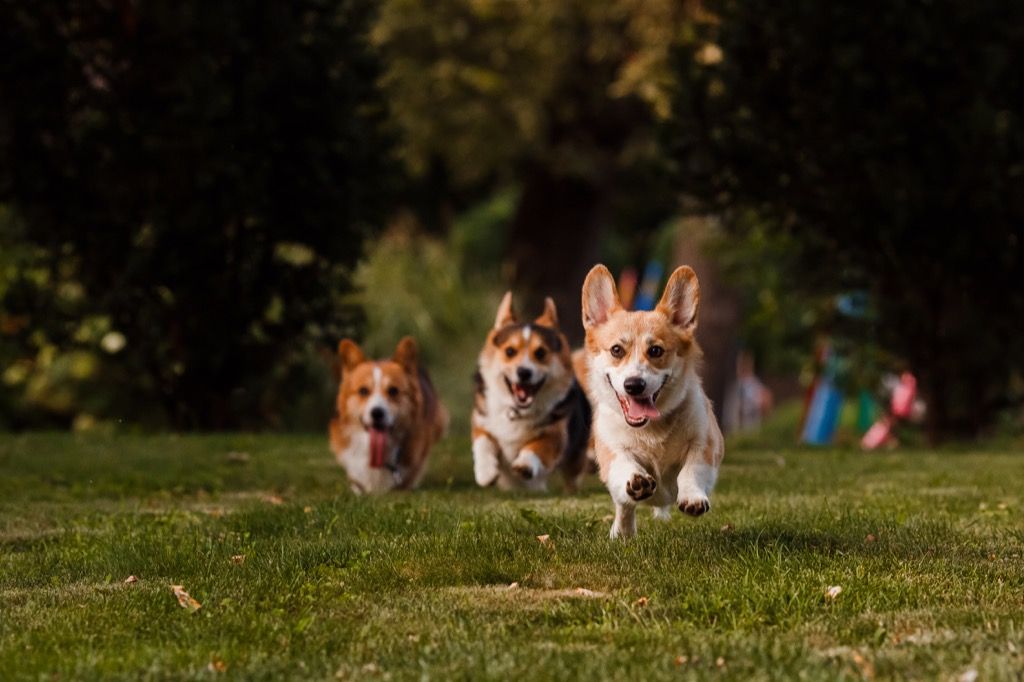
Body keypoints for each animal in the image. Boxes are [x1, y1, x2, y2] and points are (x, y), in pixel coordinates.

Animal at [471, 290, 593, 489]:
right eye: (510, 351)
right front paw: (486, 472)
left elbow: (537, 446)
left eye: (541, 353)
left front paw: (525, 464)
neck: (517, 410)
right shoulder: (481, 421)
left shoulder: (555, 434)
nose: (524, 372)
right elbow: (483, 443)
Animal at [577, 264, 729, 536]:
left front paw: (692, 498)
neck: (651, 430)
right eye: (616, 350)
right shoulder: (611, 450)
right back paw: (622, 532)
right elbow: (624, 463)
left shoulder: (706, 443)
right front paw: (636, 480)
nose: (634, 385)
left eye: (656, 350)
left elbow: (691, 469)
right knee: (624, 506)